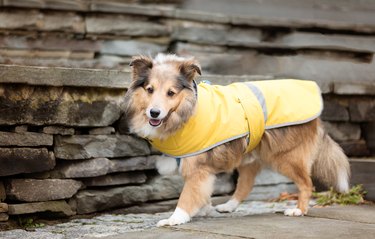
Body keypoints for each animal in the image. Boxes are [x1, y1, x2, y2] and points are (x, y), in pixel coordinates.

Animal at [124, 53, 352, 227]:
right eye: (150, 89)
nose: (154, 113)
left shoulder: (198, 168)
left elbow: (187, 195)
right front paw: (203, 208)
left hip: (287, 157)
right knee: (245, 185)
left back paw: (299, 210)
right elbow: (201, 193)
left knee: (306, 183)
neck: (186, 111)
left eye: (171, 93)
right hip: (251, 156)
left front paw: (174, 219)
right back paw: (228, 206)